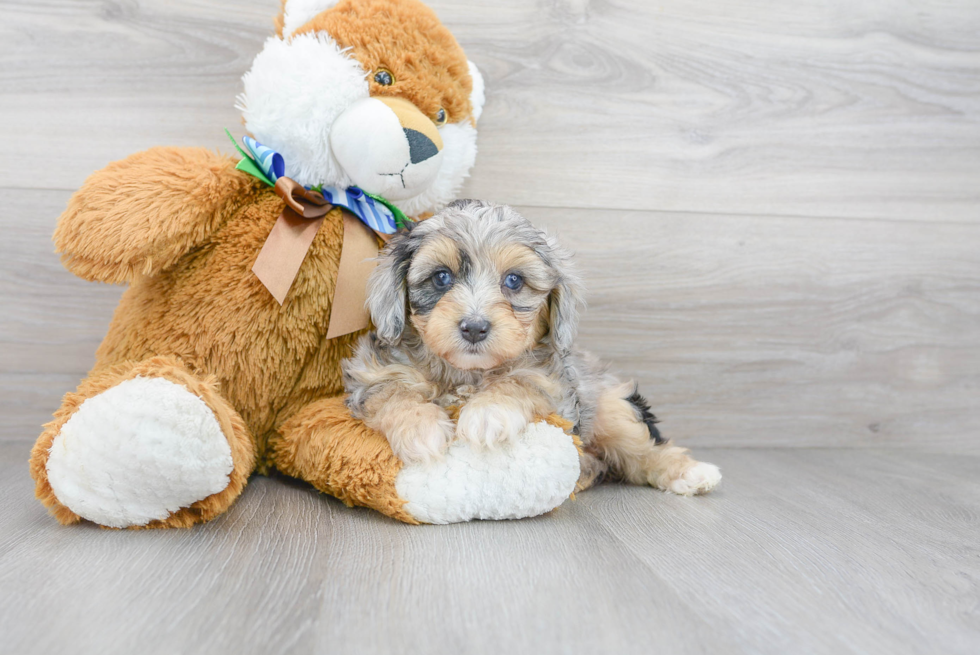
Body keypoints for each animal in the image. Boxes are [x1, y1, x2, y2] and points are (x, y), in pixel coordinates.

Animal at [342, 201, 720, 498]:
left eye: (514, 281)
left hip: (608, 406)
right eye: (441, 277)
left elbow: (520, 381)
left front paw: (488, 413)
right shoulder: (372, 373)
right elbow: (391, 392)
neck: (466, 373)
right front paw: (422, 429)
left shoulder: (554, 382)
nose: (475, 328)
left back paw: (690, 472)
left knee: (643, 449)